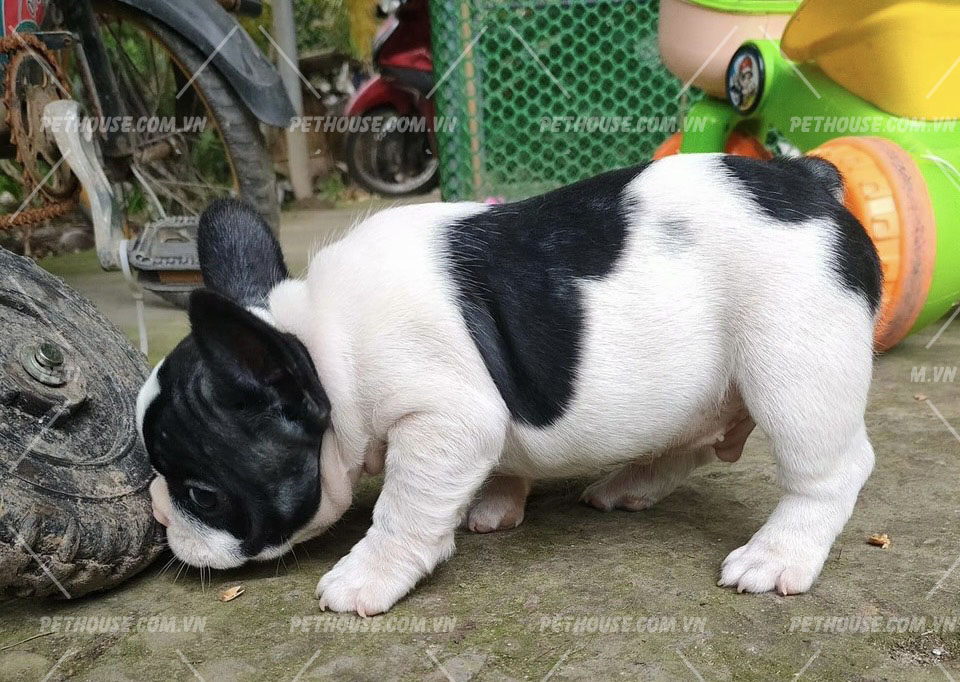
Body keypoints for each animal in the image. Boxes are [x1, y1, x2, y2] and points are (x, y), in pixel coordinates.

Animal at [139, 153, 881, 616]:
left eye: (201, 493)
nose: (159, 514)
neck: (322, 345)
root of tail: (811, 180)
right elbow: (492, 467)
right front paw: (494, 501)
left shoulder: (442, 420)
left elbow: (402, 512)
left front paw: (367, 575)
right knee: (692, 442)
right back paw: (630, 484)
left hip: (794, 367)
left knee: (831, 470)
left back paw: (778, 556)